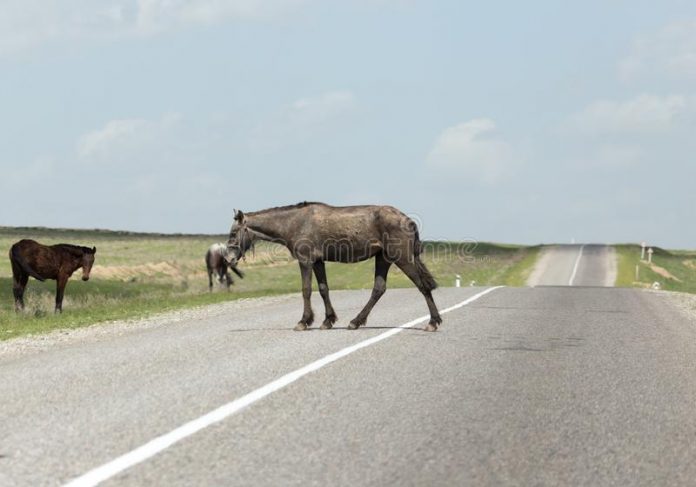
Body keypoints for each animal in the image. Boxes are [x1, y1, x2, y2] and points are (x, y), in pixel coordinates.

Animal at [226, 202, 440, 332]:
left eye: (234, 232)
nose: (228, 259)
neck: (294, 222)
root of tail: (407, 219)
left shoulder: (305, 261)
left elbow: (306, 290)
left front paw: (304, 321)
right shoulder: (318, 262)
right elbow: (323, 289)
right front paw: (327, 320)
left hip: (402, 258)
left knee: (422, 286)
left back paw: (433, 322)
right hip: (383, 258)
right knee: (379, 289)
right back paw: (355, 321)